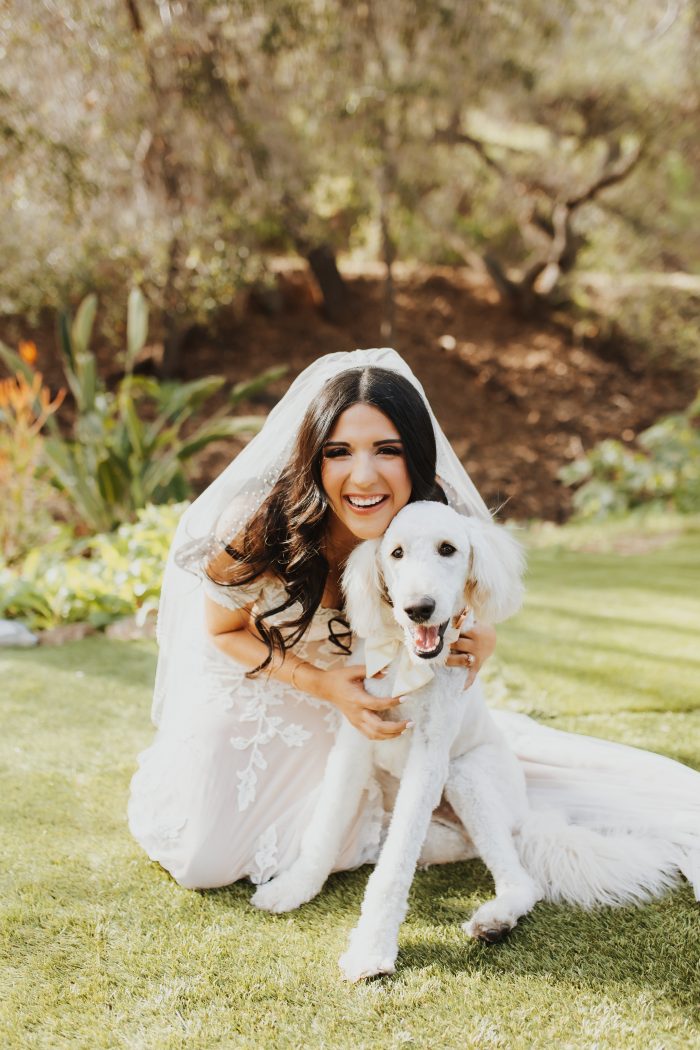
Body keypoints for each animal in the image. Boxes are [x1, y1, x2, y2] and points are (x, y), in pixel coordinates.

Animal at [250, 499, 671, 974]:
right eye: (396, 553)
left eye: (448, 549)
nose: (419, 607)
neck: (408, 661)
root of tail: (526, 816)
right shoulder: (355, 737)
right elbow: (326, 824)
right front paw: (294, 886)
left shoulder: (430, 755)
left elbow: (393, 869)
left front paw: (372, 948)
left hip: (467, 777)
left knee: (520, 880)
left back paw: (495, 921)